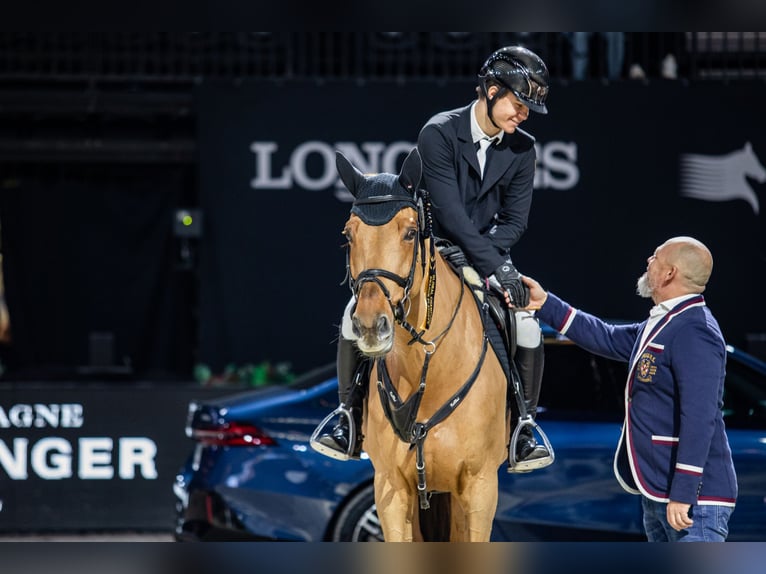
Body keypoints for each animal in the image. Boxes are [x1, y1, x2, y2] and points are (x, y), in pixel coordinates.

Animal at [336, 146, 510, 544]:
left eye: (411, 233)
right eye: (348, 236)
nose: (370, 326)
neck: (427, 365)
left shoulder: (480, 489)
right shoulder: (391, 489)